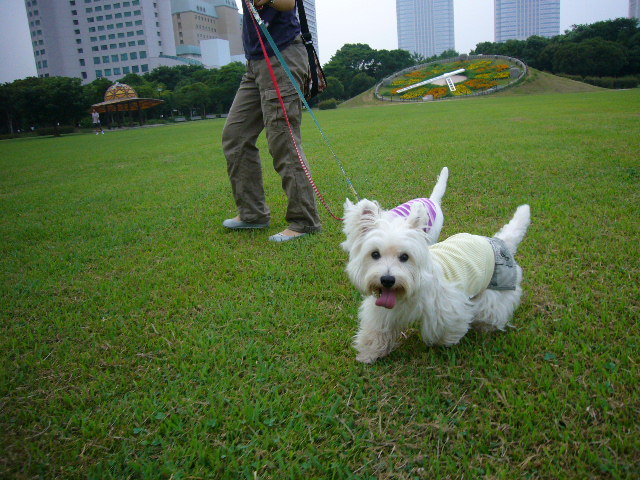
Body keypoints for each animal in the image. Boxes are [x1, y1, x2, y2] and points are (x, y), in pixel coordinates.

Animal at [342, 200, 532, 364]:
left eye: (404, 257)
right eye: (375, 254)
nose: (387, 280)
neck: (408, 293)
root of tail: (499, 241)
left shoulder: (448, 309)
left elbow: (448, 328)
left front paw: (446, 342)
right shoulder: (382, 312)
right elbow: (376, 331)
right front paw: (368, 354)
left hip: (496, 290)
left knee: (494, 311)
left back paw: (485, 327)